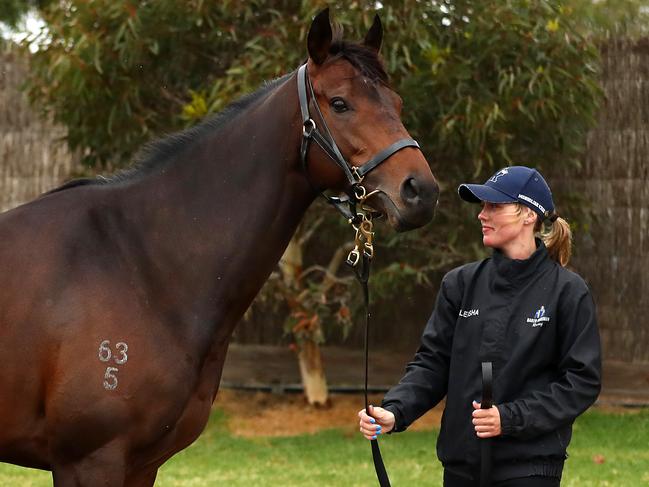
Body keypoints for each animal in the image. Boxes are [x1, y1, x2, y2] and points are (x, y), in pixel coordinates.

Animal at [0, 8, 438, 487]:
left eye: (396, 103)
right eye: (340, 103)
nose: (421, 191)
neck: (137, 264)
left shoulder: (142, 465)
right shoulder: (89, 461)